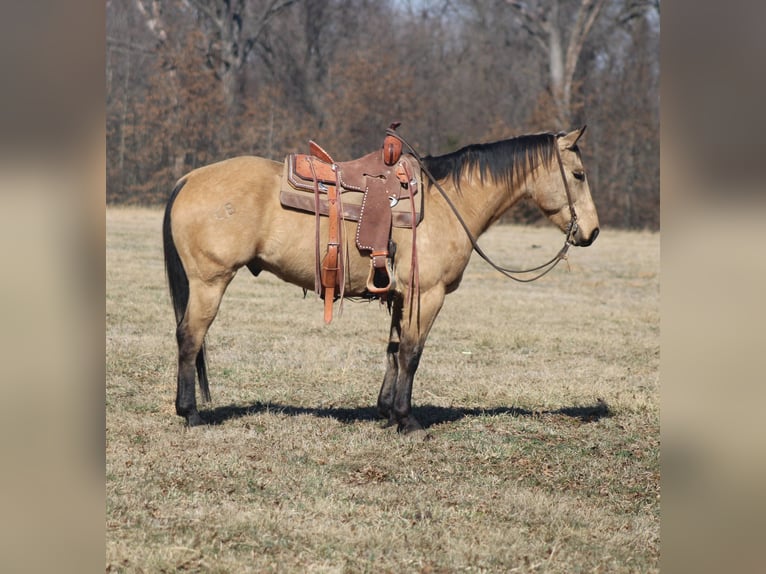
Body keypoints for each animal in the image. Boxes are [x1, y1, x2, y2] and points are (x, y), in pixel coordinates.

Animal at [165, 128, 604, 438]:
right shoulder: (427, 295)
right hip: (209, 282)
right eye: (578, 174)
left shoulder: (400, 296)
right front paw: (406, 420)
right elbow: (412, 353)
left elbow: (394, 350)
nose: (593, 232)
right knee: (190, 338)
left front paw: (385, 411)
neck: (448, 202)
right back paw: (191, 414)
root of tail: (187, 179)